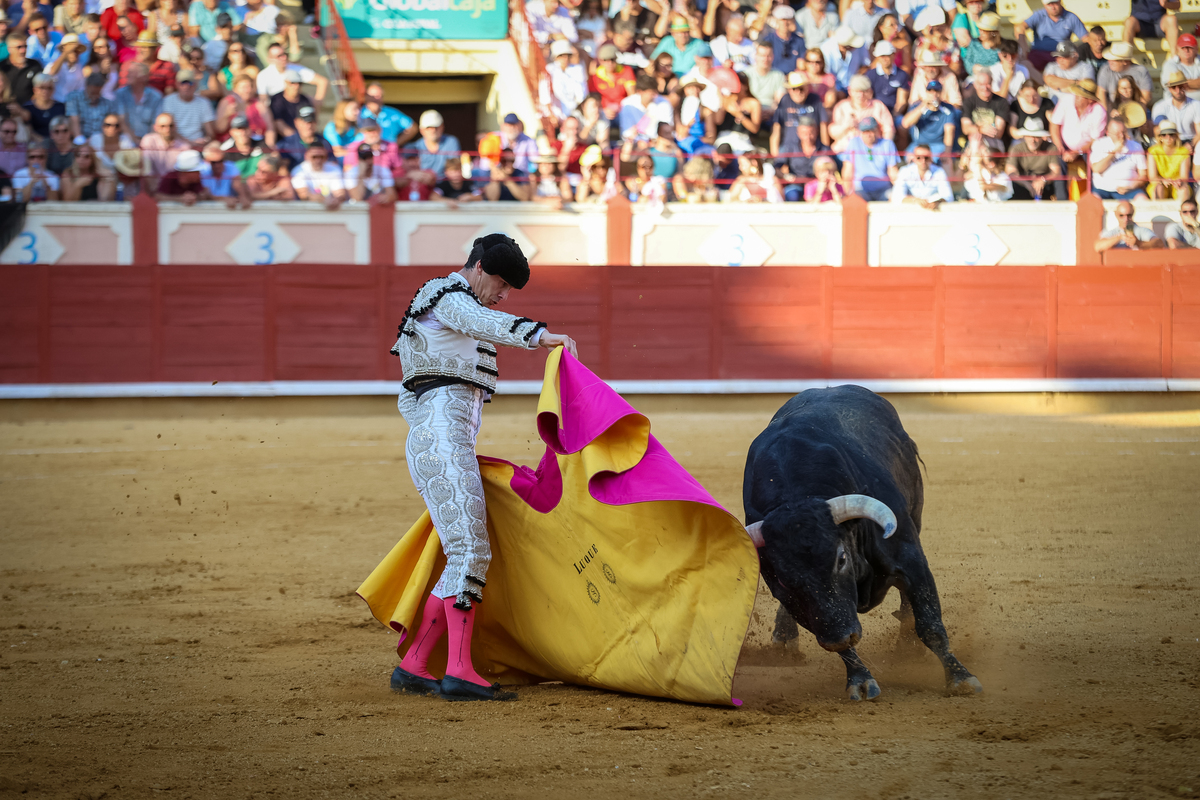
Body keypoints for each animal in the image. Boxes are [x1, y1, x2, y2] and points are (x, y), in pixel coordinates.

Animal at [744, 388, 979, 700]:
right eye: (783, 580)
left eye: (841, 558)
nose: (838, 635)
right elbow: (840, 641)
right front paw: (860, 679)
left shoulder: (910, 559)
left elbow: (930, 623)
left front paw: (960, 678)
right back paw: (784, 639)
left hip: (916, 516)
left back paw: (907, 648)